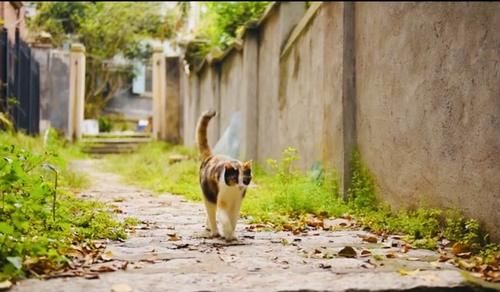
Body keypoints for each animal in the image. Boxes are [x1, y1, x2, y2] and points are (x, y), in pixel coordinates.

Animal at [196, 108, 252, 241]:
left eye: (245, 179)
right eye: (234, 178)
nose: (241, 186)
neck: (232, 192)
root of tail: (212, 156)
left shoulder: (237, 203)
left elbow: (233, 219)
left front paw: (232, 233)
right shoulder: (221, 202)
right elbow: (225, 219)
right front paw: (227, 233)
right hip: (209, 195)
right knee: (211, 212)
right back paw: (215, 231)